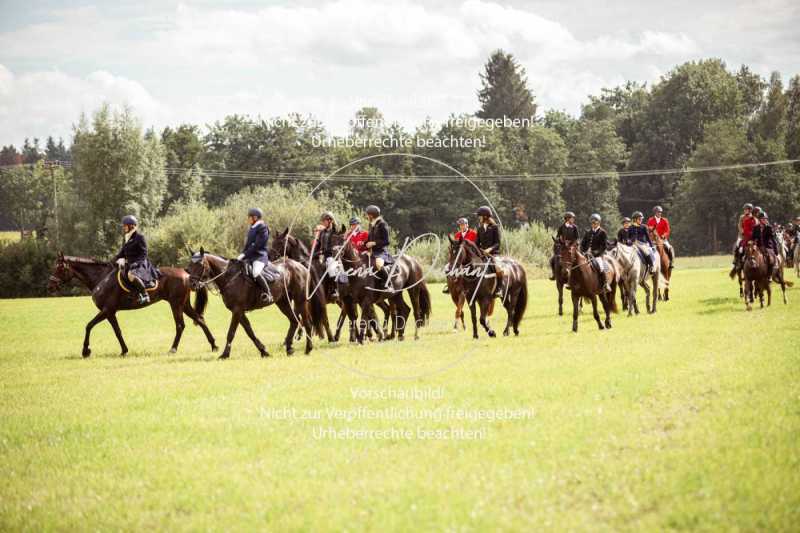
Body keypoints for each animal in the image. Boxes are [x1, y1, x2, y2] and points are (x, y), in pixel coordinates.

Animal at [49, 250, 219, 358]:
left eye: (59, 268)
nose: (50, 286)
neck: (101, 278)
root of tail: (187, 275)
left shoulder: (106, 310)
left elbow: (89, 326)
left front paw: (85, 350)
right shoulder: (110, 313)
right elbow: (117, 331)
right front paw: (124, 350)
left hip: (176, 304)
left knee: (180, 325)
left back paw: (173, 349)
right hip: (183, 305)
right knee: (200, 319)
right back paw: (214, 345)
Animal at [186, 249, 326, 358]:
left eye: (200, 264)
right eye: (189, 266)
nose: (192, 285)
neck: (229, 277)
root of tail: (302, 267)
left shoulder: (237, 310)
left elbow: (231, 333)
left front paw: (225, 354)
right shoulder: (239, 312)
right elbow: (250, 332)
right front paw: (264, 351)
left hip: (300, 300)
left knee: (306, 323)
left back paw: (308, 349)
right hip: (283, 302)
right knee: (294, 320)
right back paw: (289, 348)